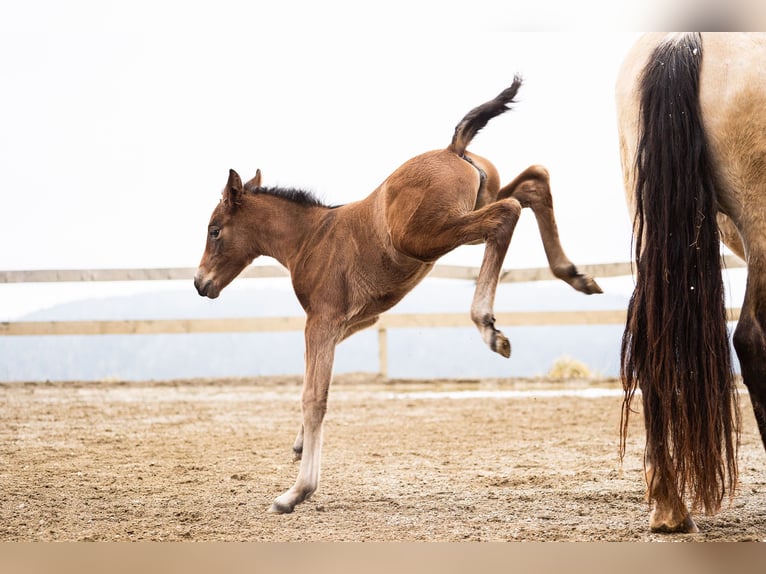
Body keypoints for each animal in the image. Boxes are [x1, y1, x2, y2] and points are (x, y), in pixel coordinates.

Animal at [194, 78, 602, 514]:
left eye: (215, 230)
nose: (201, 283)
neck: (310, 239)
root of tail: (451, 149)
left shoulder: (322, 319)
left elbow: (314, 396)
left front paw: (296, 492)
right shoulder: (354, 320)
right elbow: (312, 378)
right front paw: (300, 446)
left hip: (429, 234)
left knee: (507, 212)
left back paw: (488, 324)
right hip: (472, 203)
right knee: (532, 182)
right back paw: (574, 275)